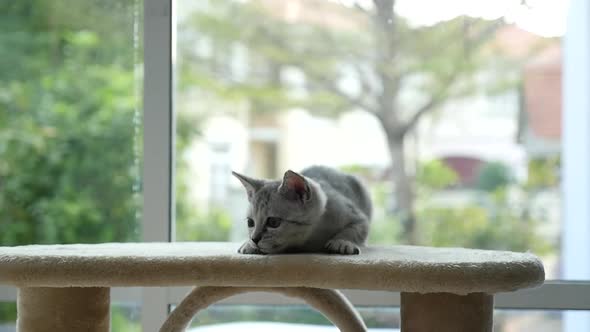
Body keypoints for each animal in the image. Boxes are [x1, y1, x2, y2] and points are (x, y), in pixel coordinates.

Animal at [234, 165, 372, 254]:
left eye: (273, 222)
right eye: (250, 222)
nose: (254, 239)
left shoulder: (356, 216)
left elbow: (356, 229)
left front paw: (342, 241)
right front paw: (248, 244)